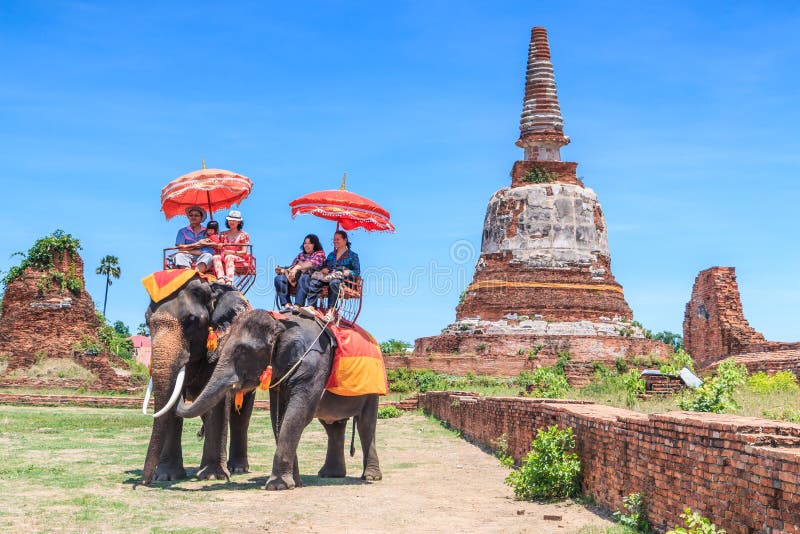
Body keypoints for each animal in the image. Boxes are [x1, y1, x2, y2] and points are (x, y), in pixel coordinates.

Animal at [142, 278, 252, 488]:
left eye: (190, 321)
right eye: (147, 322)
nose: (145, 482)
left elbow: (219, 403)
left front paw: (213, 476)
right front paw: (167, 476)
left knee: (241, 417)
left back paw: (237, 469)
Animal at [177, 308, 382, 492]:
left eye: (242, 350)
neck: (280, 322)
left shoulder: (313, 365)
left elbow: (299, 413)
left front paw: (278, 486)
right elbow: (279, 415)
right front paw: (295, 483)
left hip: (372, 389)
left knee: (365, 425)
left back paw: (370, 477)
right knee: (333, 427)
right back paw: (330, 475)